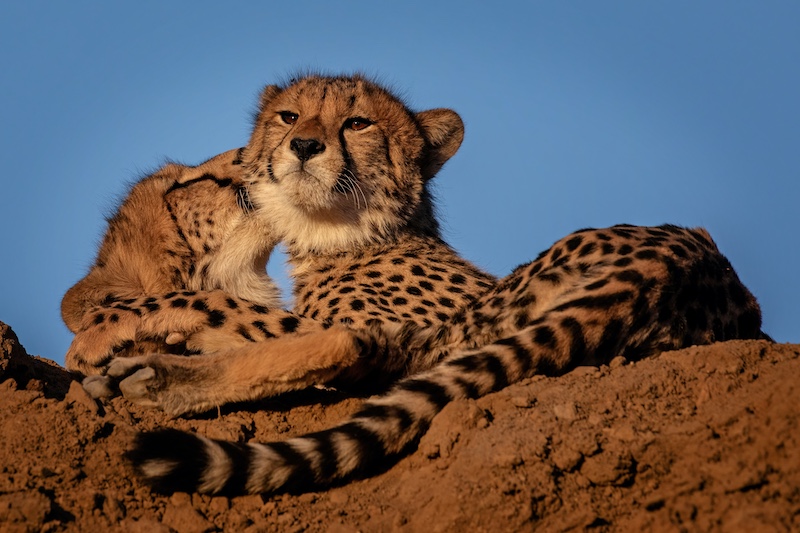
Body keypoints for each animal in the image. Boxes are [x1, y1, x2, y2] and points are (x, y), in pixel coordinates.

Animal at [66, 74, 767, 497]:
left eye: (357, 124)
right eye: (289, 115)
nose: (302, 145)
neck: (339, 232)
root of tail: (686, 256)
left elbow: (216, 302)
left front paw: (106, 331)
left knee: (345, 347)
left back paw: (153, 378)